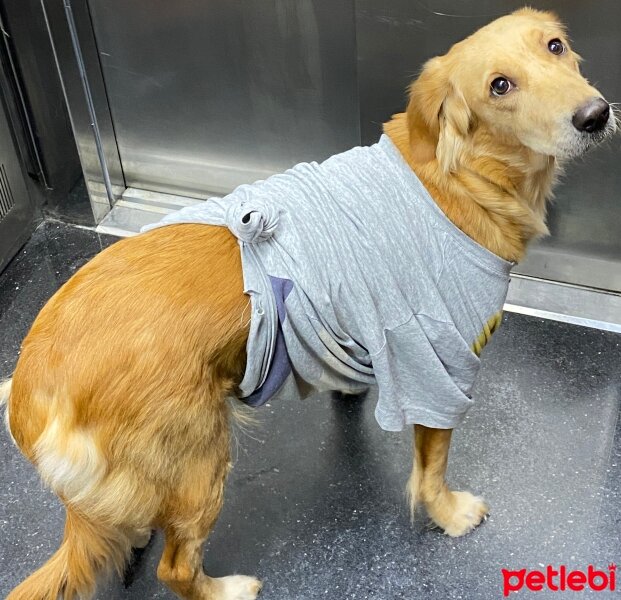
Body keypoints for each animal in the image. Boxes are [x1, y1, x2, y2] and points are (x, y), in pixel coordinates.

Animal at [3, 9, 616, 600]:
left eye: (555, 47)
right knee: (176, 568)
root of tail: (31, 395)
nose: (595, 115)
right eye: (499, 86)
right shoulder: (438, 369)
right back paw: (226, 590)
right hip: (200, 463)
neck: (460, 175)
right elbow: (431, 471)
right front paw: (449, 515)